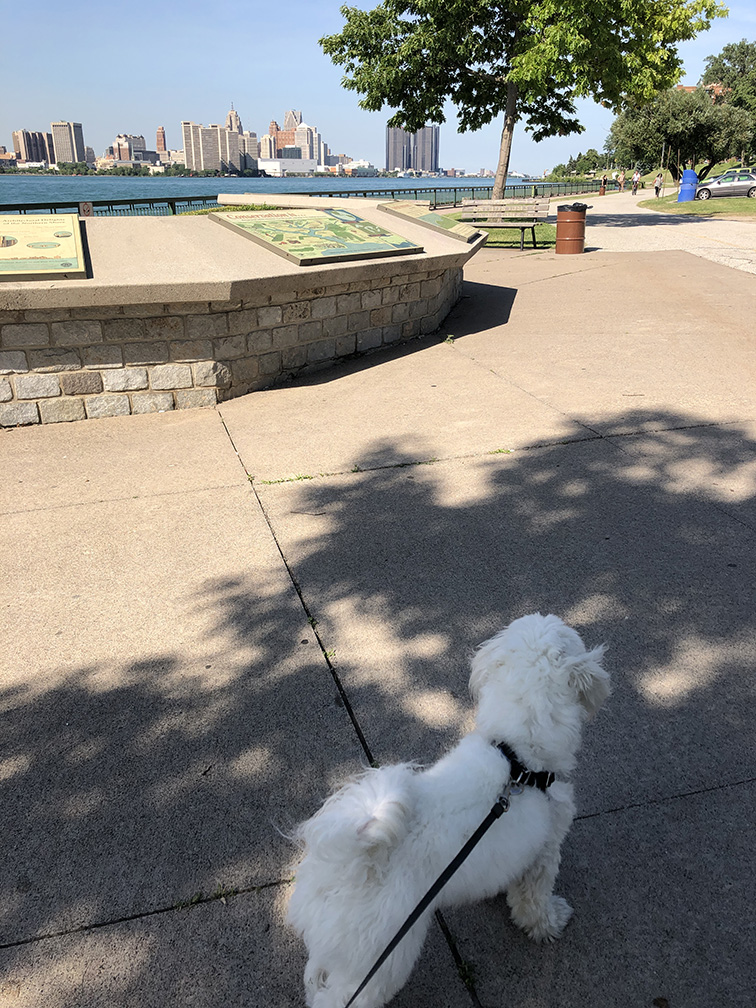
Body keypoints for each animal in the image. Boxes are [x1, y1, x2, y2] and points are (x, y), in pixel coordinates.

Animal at [286, 612, 612, 1008]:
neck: (517, 761)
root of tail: (347, 865)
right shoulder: (545, 851)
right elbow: (533, 899)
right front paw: (548, 922)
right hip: (378, 961)